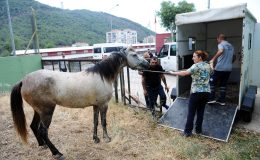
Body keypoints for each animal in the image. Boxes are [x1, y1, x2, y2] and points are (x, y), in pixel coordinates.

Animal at [10, 47, 148, 160]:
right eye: (134, 55)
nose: (146, 63)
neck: (102, 76)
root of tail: (23, 81)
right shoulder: (103, 105)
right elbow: (103, 122)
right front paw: (107, 138)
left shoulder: (96, 105)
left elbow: (95, 121)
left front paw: (96, 139)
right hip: (46, 111)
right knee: (43, 131)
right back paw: (57, 153)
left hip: (38, 111)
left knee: (33, 126)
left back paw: (42, 145)